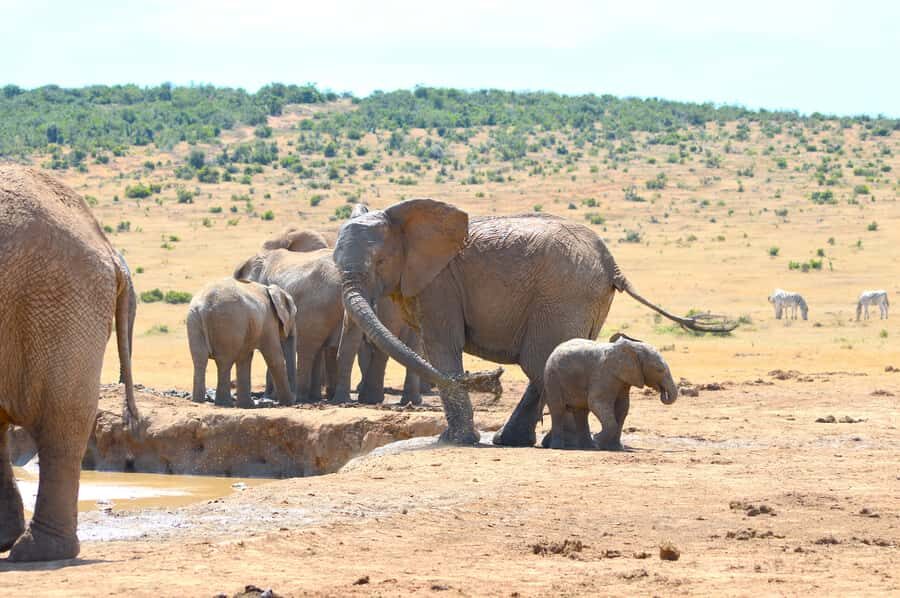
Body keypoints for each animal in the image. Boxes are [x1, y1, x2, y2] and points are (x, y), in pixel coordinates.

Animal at [187, 278, 297, 408]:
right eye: (295, 315)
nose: (295, 400)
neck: (271, 289)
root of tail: (203, 306)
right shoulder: (269, 321)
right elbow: (275, 358)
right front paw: (288, 403)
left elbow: (245, 358)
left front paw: (246, 405)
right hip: (228, 321)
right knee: (224, 361)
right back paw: (224, 403)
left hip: (194, 320)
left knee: (200, 359)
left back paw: (198, 401)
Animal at [542, 334, 677, 450]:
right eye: (659, 370)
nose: (662, 392)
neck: (633, 348)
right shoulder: (604, 374)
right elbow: (596, 402)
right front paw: (597, 439)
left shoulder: (623, 380)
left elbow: (622, 408)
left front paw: (616, 448)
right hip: (552, 378)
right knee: (558, 409)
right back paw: (559, 447)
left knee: (582, 412)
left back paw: (589, 447)